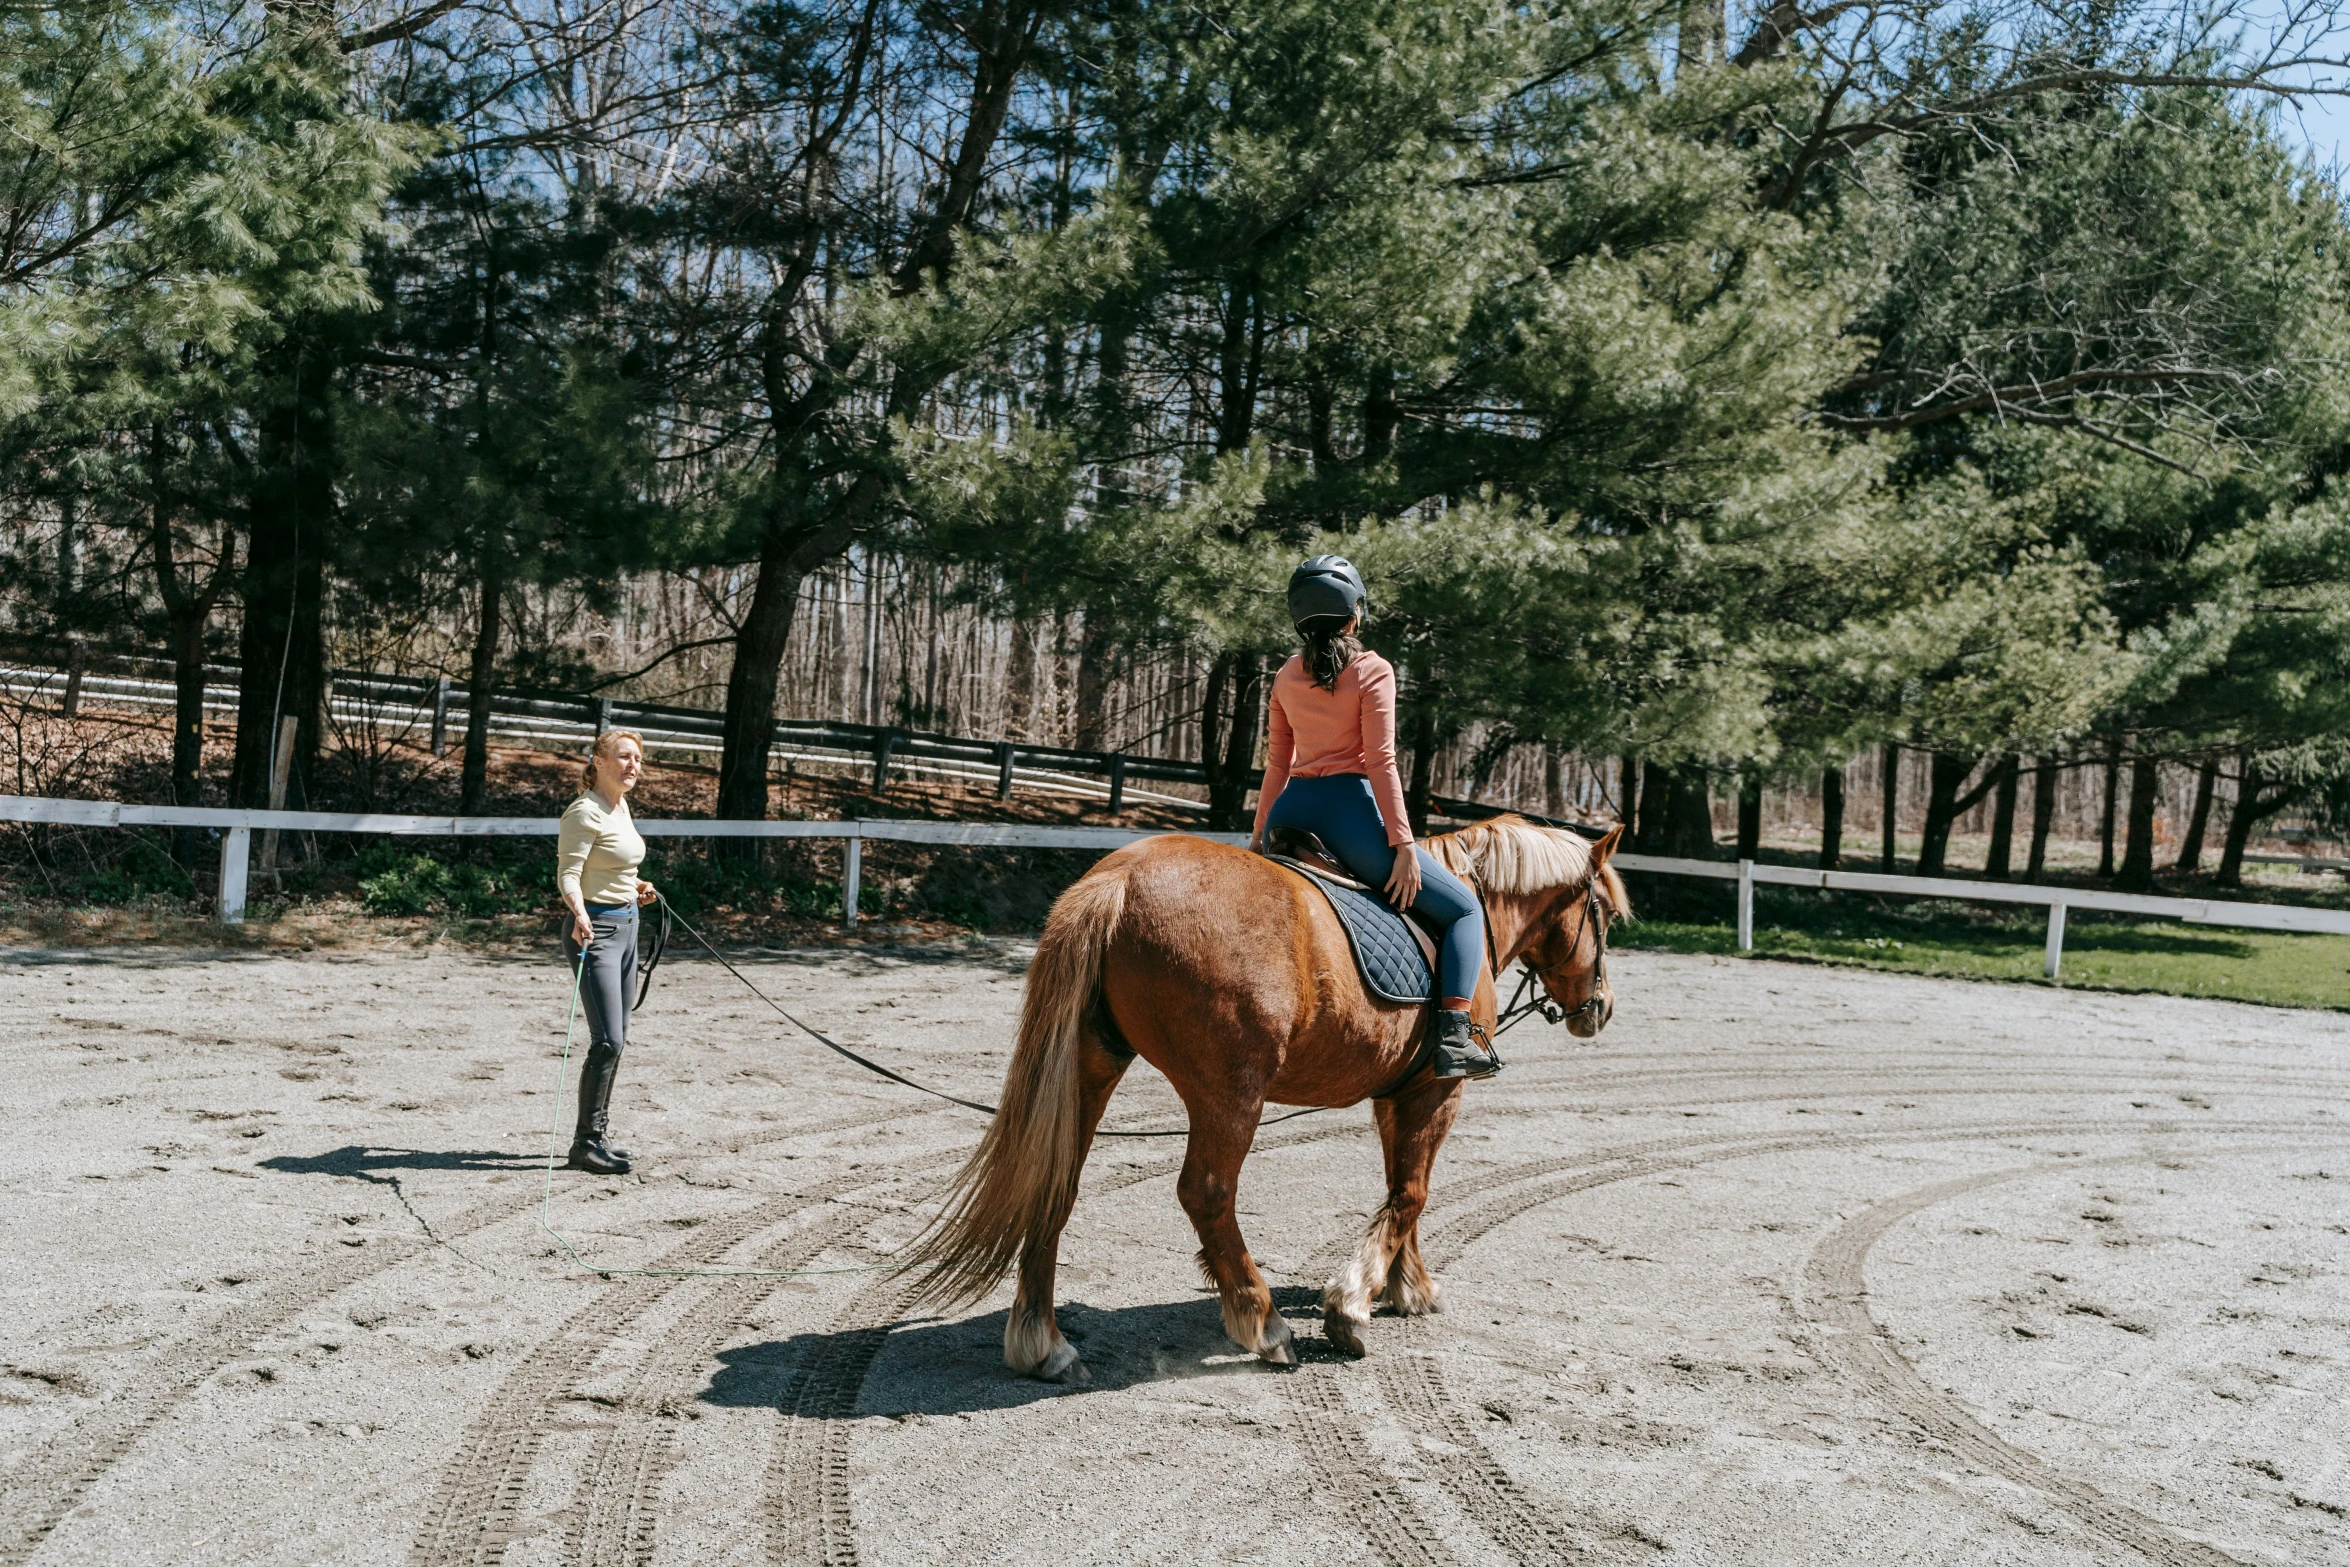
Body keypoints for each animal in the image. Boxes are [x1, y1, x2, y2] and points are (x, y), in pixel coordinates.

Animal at [907, 817, 1626, 1381]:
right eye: (1606, 915)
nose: (1602, 1008)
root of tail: (1120, 880)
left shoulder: (1399, 1093)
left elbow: (1402, 1185)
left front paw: (1408, 1285)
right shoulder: (1438, 1087)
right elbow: (1412, 1193)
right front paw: (1352, 1303)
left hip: (1093, 1066)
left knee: (1056, 1182)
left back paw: (1045, 1344)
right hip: (1231, 1093)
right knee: (1207, 1193)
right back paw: (1264, 1322)